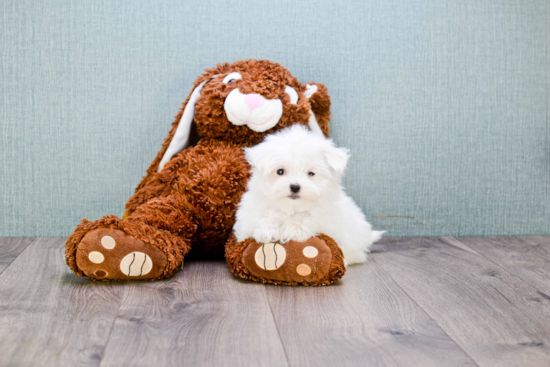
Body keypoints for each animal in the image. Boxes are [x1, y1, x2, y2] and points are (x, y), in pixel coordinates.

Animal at [235, 125, 386, 266]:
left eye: (311, 174)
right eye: (280, 171)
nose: (295, 187)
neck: (292, 208)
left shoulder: (328, 219)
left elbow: (309, 218)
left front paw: (292, 229)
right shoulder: (249, 214)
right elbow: (264, 217)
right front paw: (267, 231)